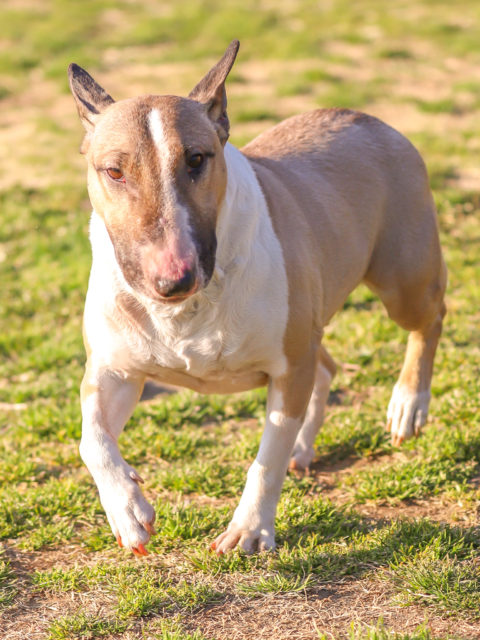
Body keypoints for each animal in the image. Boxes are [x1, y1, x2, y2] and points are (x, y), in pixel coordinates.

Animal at [69, 42, 448, 556]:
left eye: (197, 159)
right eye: (113, 171)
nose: (174, 280)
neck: (188, 308)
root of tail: (366, 118)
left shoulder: (287, 369)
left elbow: (267, 459)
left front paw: (249, 530)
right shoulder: (114, 370)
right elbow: (92, 440)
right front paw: (127, 512)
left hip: (401, 281)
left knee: (429, 318)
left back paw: (409, 404)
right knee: (326, 367)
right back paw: (305, 448)